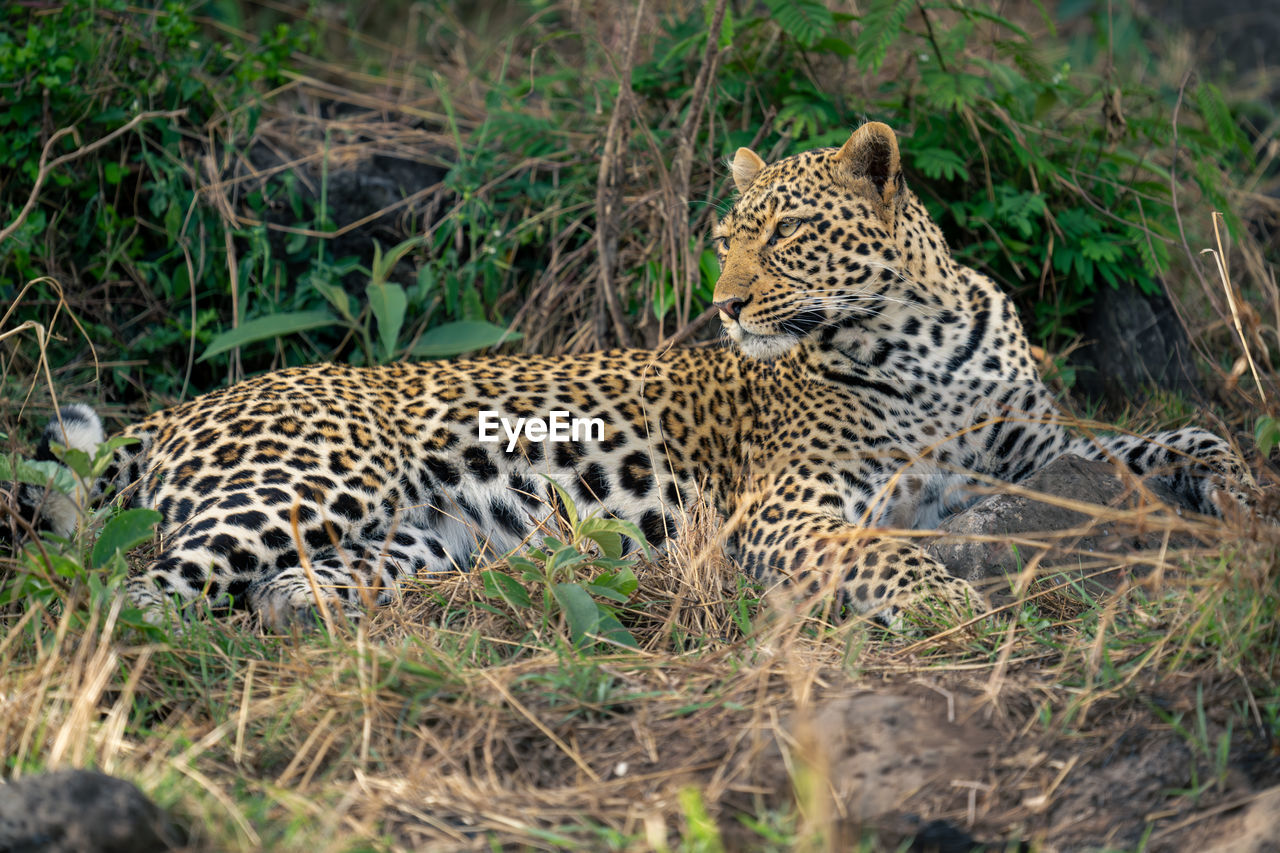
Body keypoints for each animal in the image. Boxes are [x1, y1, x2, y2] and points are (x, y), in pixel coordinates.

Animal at [15, 122, 1254, 630]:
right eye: (725, 238)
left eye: (788, 233)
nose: (726, 305)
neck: (918, 335)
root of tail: (187, 404)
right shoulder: (785, 511)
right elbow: (887, 545)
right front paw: (943, 599)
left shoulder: (1034, 452)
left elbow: (1170, 437)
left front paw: (1235, 492)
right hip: (310, 480)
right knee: (132, 592)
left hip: (410, 531)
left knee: (272, 588)